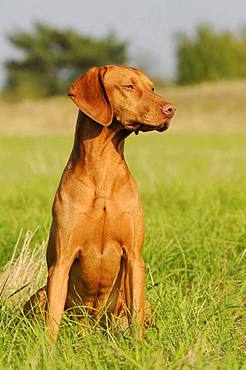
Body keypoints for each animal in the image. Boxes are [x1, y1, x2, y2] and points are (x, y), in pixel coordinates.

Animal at [24, 66, 175, 342]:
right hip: (40, 295)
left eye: (152, 88)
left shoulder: (134, 257)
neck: (103, 169)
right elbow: (52, 322)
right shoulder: (61, 261)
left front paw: (139, 348)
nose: (171, 109)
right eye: (129, 86)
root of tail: (91, 329)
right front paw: (47, 350)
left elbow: (136, 319)